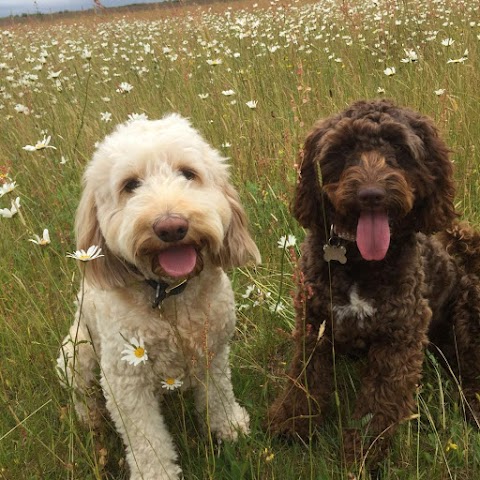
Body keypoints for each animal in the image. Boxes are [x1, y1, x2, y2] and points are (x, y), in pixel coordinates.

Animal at [57, 114, 260, 478]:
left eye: (188, 173)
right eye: (130, 185)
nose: (171, 227)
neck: (170, 298)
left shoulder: (213, 350)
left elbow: (219, 395)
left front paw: (229, 427)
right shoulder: (125, 381)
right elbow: (147, 440)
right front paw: (157, 473)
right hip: (76, 354)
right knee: (83, 395)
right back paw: (90, 419)